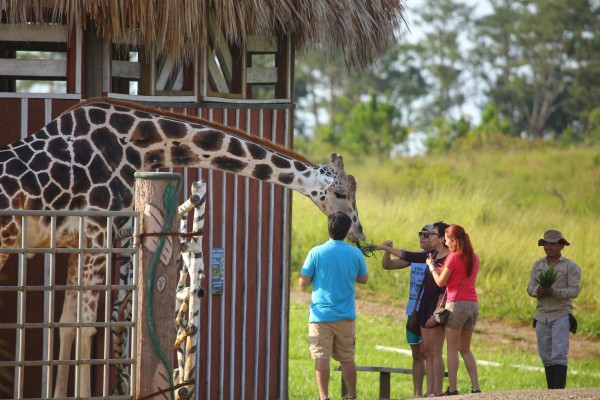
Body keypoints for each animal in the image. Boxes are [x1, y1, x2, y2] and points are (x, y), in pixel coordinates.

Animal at [0, 97, 366, 396]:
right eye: (342, 193)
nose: (358, 231)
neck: (141, 145)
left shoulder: (74, 241)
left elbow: (66, 323)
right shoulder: (97, 230)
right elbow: (87, 327)